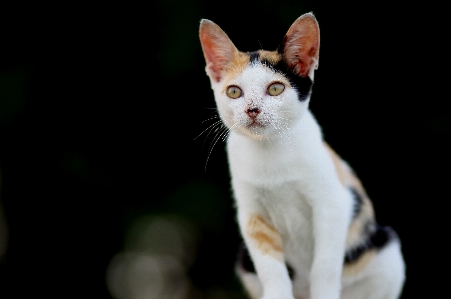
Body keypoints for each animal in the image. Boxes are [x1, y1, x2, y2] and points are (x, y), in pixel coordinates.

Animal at [200, 12, 404, 299]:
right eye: (234, 92)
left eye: (275, 89)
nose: (252, 109)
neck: (270, 151)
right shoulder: (252, 217)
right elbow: (271, 269)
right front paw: (277, 292)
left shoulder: (333, 203)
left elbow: (325, 265)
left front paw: (324, 290)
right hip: (244, 259)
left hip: (385, 250)